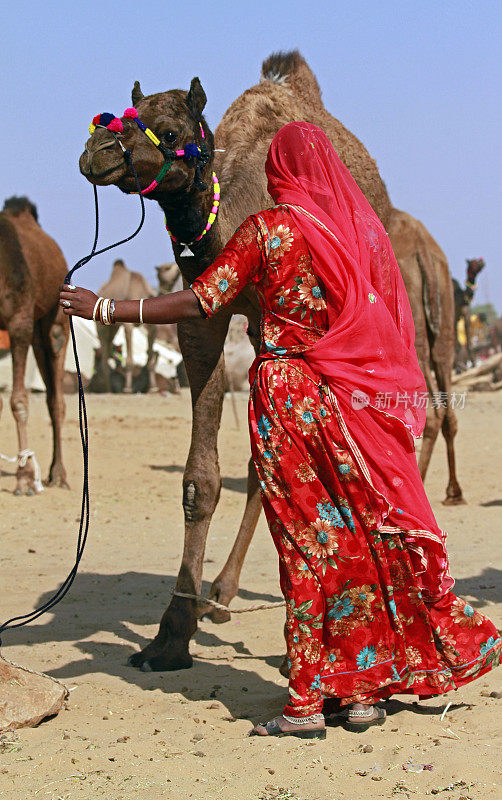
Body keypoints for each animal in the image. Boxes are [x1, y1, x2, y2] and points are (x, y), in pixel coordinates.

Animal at [92, 258, 158, 392]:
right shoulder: (128, 326)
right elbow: (129, 361)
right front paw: (127, 389)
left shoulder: (151, 328)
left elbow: (150, 360)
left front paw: (153, 388)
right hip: (101, 327)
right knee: (104, 346)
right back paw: (108, 390)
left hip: (113, 328)